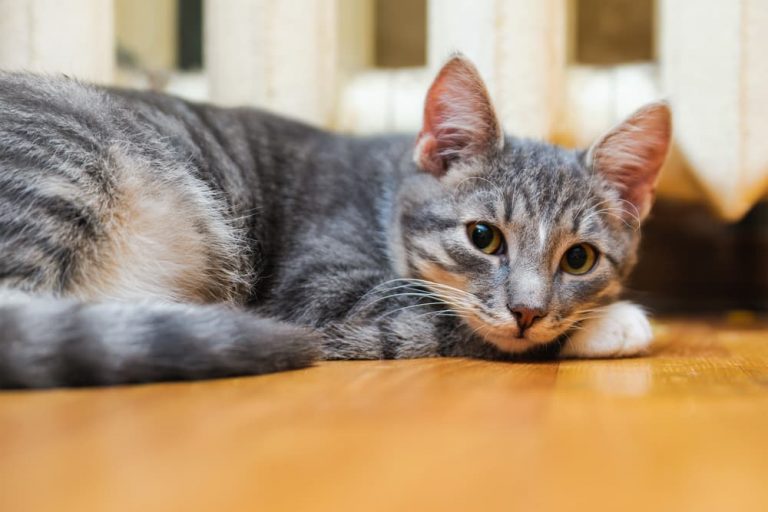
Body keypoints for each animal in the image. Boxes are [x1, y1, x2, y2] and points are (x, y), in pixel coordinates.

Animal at [0, 56, 672, 388]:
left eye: (579, 258)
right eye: (483, 237)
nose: (529, 311)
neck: (384, 191)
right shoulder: (321, 290)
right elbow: (447, 321)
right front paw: (613, 322)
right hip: (65, 167)